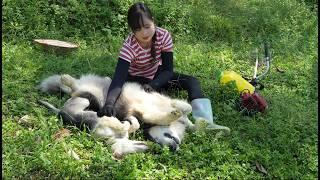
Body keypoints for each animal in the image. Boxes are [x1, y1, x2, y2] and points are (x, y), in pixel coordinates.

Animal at [37, 74, 192, 158]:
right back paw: (67, 79)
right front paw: (176, 110)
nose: (171, 149)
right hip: (87, 96)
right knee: (74, 88)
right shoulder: (144, 110)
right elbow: (184, 108)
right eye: (156, 140)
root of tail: (61, 112)